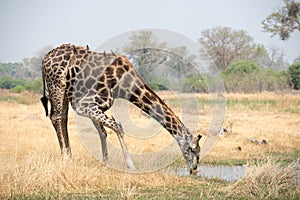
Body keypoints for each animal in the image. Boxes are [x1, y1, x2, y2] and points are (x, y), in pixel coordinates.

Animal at [41, 44, 202, 173]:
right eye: (193, 150)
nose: (194, 170)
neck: (124, 85)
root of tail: (44, 60)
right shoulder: (84, 104)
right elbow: (117, 126)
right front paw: (131, 165)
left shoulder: (93, 105)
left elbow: (103, 131)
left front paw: (106, 161)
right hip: (57, 86)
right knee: (56, 117)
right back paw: (65, 158)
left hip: (64, 93)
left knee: (62, 118)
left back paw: (70, 156)